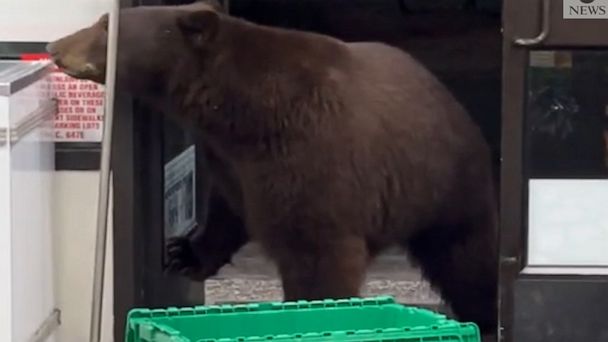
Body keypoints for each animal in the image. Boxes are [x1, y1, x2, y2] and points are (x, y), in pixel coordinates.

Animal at [48, 0, 498, 334]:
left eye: (105, 24)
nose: (54, 47)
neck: (241, 112)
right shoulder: (234, 162)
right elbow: (227, 210)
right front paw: (184, 252)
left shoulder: (312, 157)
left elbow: (317, 252)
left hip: (444, 187)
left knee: (467, 261)